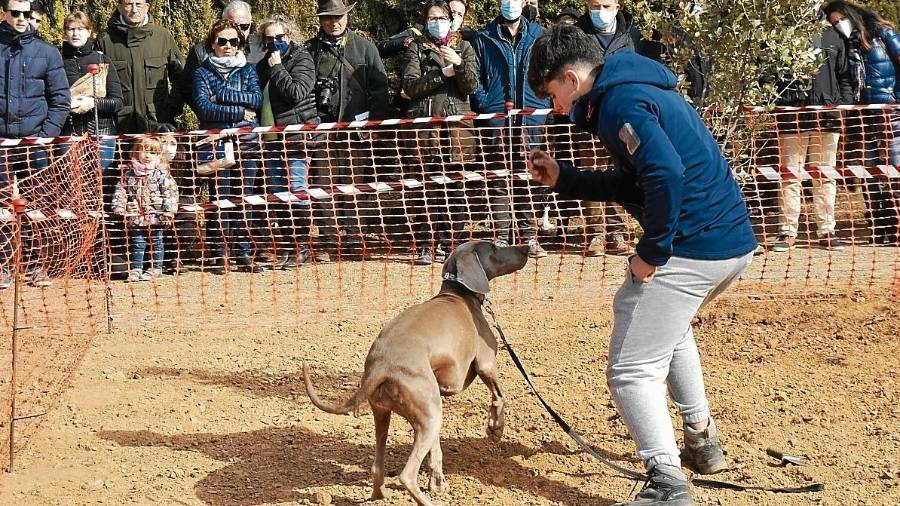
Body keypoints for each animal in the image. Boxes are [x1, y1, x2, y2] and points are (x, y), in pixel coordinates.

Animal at [304, 241, 528, 506]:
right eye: (495, 247)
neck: (459, 295)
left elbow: (436, 450)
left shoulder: (437, 397)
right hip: (430, 417)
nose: (527, 248)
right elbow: (500, 396)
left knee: (377, 467)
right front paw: (495, 429)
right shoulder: (485, 362)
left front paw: (437, 480)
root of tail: (380, 365)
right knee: (406, 475)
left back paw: (380, 496)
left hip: (389, 413)